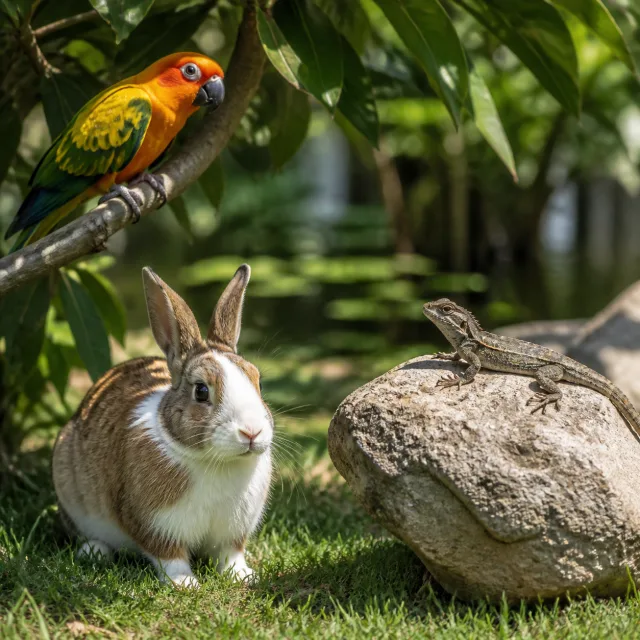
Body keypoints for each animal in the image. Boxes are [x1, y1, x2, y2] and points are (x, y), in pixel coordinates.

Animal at [52, 264, 273, 588]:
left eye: (258, 382)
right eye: (201, 391)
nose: (251, 432)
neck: (215, 460)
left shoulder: (232, 532)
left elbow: (230, 554)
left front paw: (244, 576)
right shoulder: (154, 524)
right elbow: (169, 556)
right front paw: (186, 584)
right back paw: (94, 552)